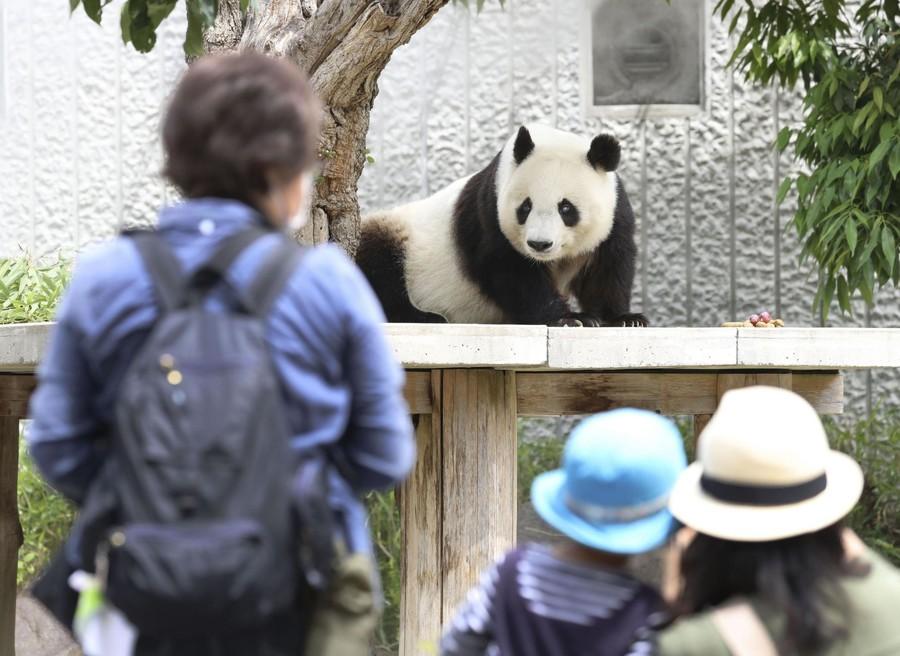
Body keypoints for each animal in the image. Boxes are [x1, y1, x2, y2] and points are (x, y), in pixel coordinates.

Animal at [356, 123, 648, 328]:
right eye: (525, 207)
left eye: (566, 208)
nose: (539, 244)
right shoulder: (489, 213)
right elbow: (510, 271)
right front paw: (568, 318)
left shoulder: (615, 214)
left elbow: (609, 267)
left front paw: (624, 318)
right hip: (395, 232)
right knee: (378, 268)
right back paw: (425, 316)